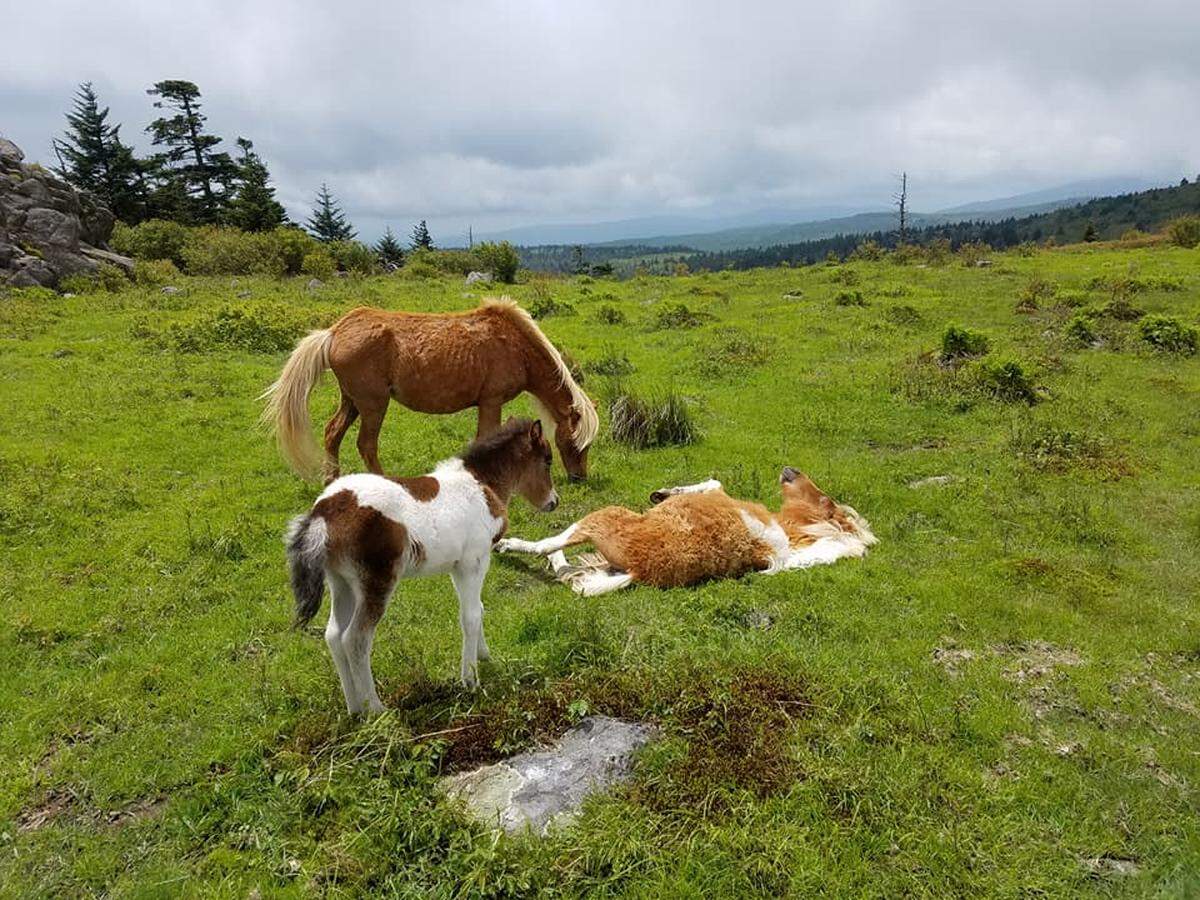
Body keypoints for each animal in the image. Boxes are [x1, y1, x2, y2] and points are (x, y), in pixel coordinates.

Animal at [261, 297, 598, 485]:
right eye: (575, 444)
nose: (579, 478)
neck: (514, 344)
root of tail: (334, 331)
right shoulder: (491, 402)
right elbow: (485, 437)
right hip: (373, 405)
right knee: (366, 445)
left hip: (352, 402)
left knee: (333, 434)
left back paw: (331, 480)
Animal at [285, 418, 558, 715]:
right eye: (547, 460)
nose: (553, 502)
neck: (480, 484)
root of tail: (324, 512)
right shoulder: (474, 561)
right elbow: (471, 616)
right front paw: (470, 680)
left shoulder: (458, 566)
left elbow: (478, 609)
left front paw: (484, 656)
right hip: (377, 581)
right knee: (355, 639)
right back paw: (377, 709)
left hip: (340, 582)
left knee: (334, 635)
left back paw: (355, 708)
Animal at [496, 467, 876, 595]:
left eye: (826, 499)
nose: (791, 470)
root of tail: (640, 569)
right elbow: (713, 480)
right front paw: (663, 493)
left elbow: (713, 483)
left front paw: (663, 493)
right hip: (605, 565)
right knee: (570, 572)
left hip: (602, 515)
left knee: (551, 545)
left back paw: (507, 545)